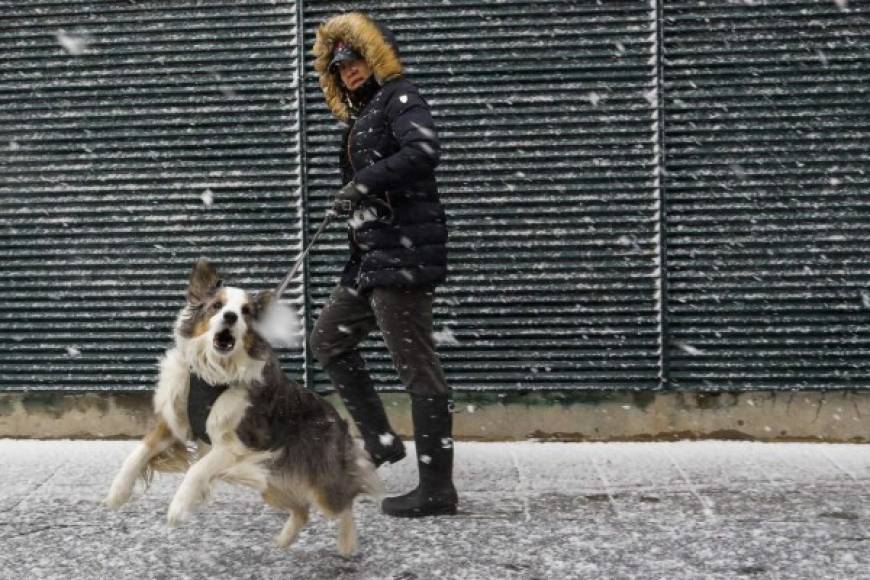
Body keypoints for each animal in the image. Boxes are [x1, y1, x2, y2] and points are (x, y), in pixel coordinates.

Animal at [104, 260, 382, 556]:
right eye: (217, 305)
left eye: (246, 312)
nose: (230, 317)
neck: (215, 373)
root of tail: (337, 418)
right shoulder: (174, 423)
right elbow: (139, 452)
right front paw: (117, 493)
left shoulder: (241, 443)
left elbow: (197, 469)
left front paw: (178, 508)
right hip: (272, 480)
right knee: (302, 509)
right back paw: (283, 542)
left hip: (317, 480)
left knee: (345, 501)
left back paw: (347, 544)